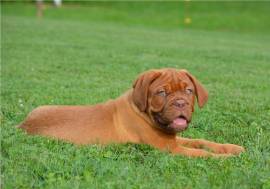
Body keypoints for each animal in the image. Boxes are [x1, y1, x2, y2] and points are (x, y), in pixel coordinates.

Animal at [18, 68, 245, 157]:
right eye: (162, 92)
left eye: (188, 91)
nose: (180, 103)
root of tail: (23, 125)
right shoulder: (170, 148)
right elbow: (201, 153)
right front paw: (226, 159)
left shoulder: (173, 139)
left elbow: (201, 142)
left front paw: (232, 148)